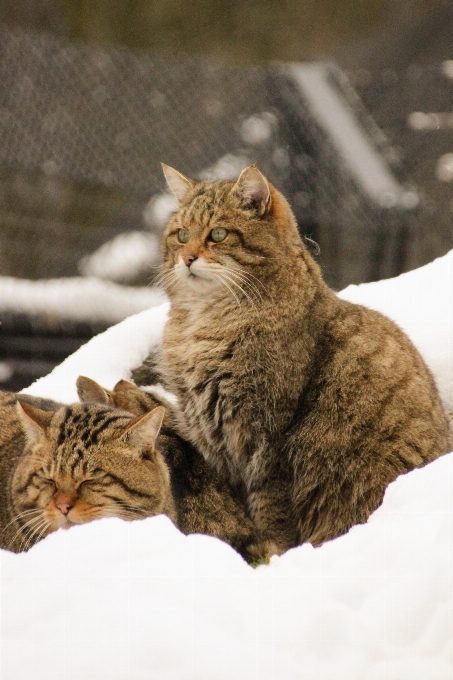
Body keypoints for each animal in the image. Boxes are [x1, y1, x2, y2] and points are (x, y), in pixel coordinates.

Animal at [139, 163, 450, 552]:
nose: (187, 258)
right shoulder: (213, 437)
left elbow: (273, 512)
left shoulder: (268, 437)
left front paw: (273, 552)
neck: (202, 322)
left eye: (218, 234)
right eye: (181, 235)